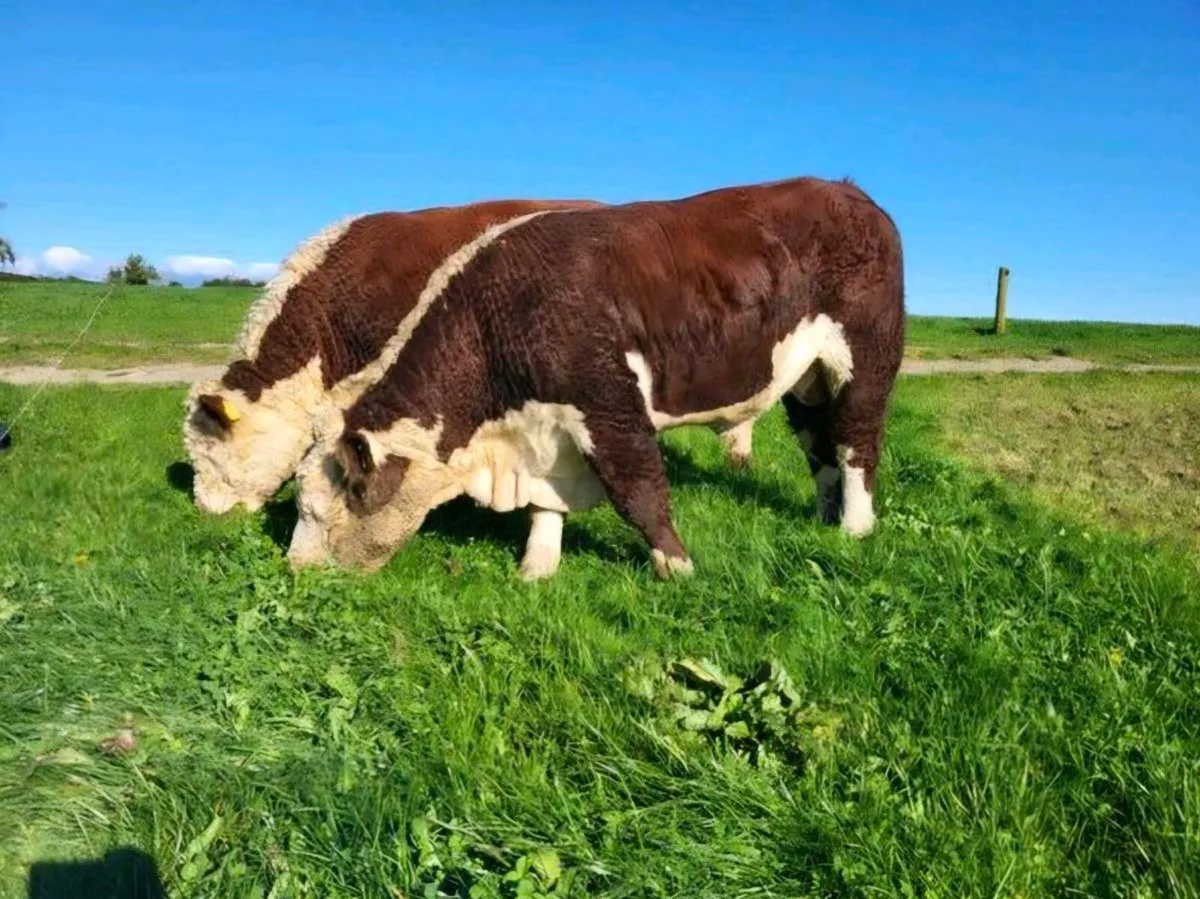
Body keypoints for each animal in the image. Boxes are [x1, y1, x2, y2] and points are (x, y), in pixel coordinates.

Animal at [286, 175, 905, 581]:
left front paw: (676, 565)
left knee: (856, 442)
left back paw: (855, 528)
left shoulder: (609, 404)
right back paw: (824, 517)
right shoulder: (546, 426)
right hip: (807, 380)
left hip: (866, 361)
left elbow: (640, 491)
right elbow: (547, 504)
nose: (294, 571)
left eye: (314, 509)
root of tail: (846, 190)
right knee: (820, 445)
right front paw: (537, 568)